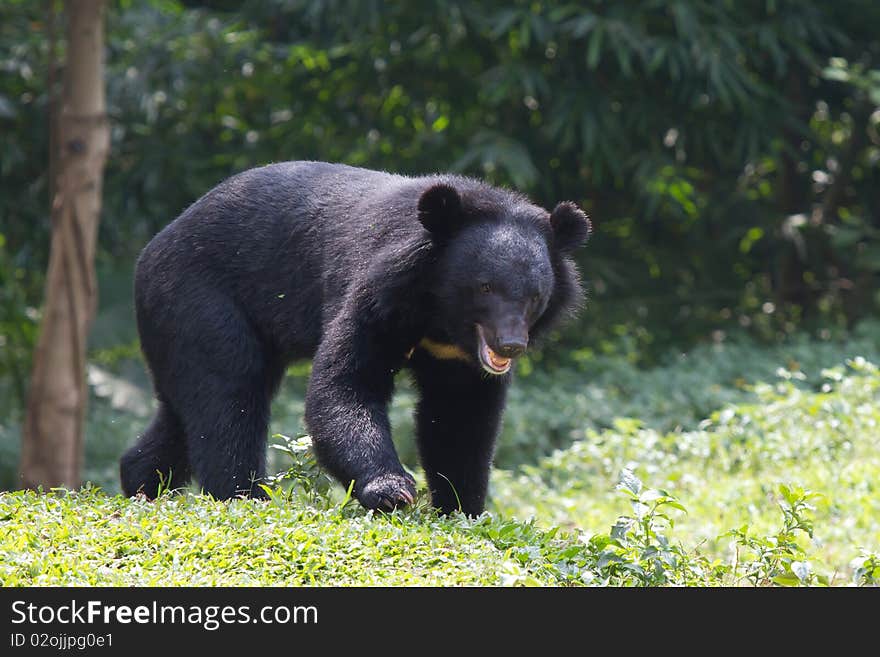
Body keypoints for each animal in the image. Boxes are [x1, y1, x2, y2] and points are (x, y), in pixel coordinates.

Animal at [120, 160, 592, 512]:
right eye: (485, 287)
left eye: (535, 297)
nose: (509, 345)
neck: (442, 316)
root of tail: (151, 250)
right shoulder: (379, 293)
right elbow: (346, 384)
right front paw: (392, 489)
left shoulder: (457, 357)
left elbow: (460, 416)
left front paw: (461, 507)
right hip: (201, 299)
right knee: (229, 390)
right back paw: (244, 494)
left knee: (187, 408)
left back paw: (141, 482)